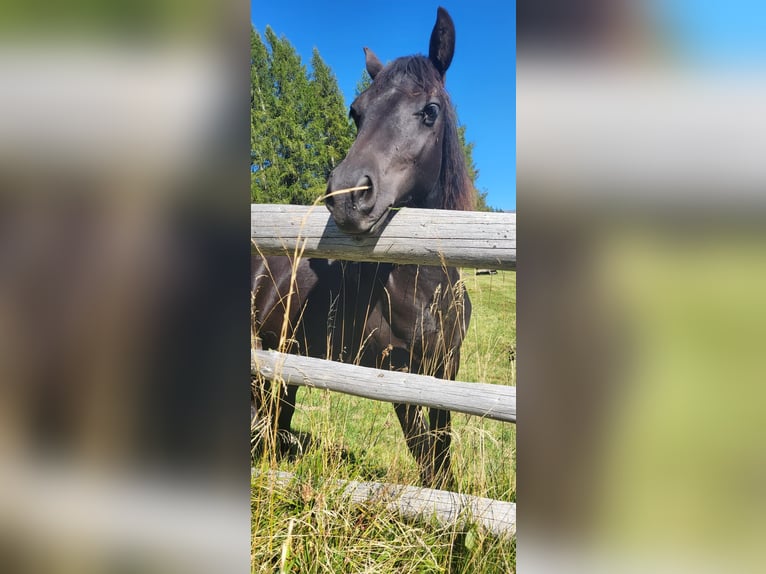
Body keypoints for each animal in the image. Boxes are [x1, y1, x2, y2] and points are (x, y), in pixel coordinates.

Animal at [254, 6, 474, 488]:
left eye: (430, 111)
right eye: (356, 112)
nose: (346, 195)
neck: (426, 289)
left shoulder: (445, 373)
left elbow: (441, 458)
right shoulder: (398, 378)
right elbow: (428, 463)